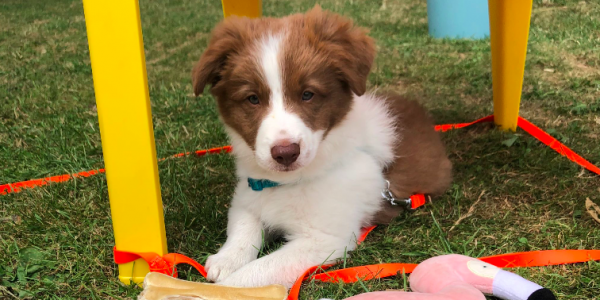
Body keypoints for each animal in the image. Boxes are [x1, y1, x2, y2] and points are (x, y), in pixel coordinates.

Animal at [192, 5, 450, 288]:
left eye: (308, 94)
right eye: (252, 99)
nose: (286, 153)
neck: (286, 182)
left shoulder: (324, 240)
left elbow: (259, 270)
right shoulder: (248, 198)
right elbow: (243, 229)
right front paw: (226, 259)